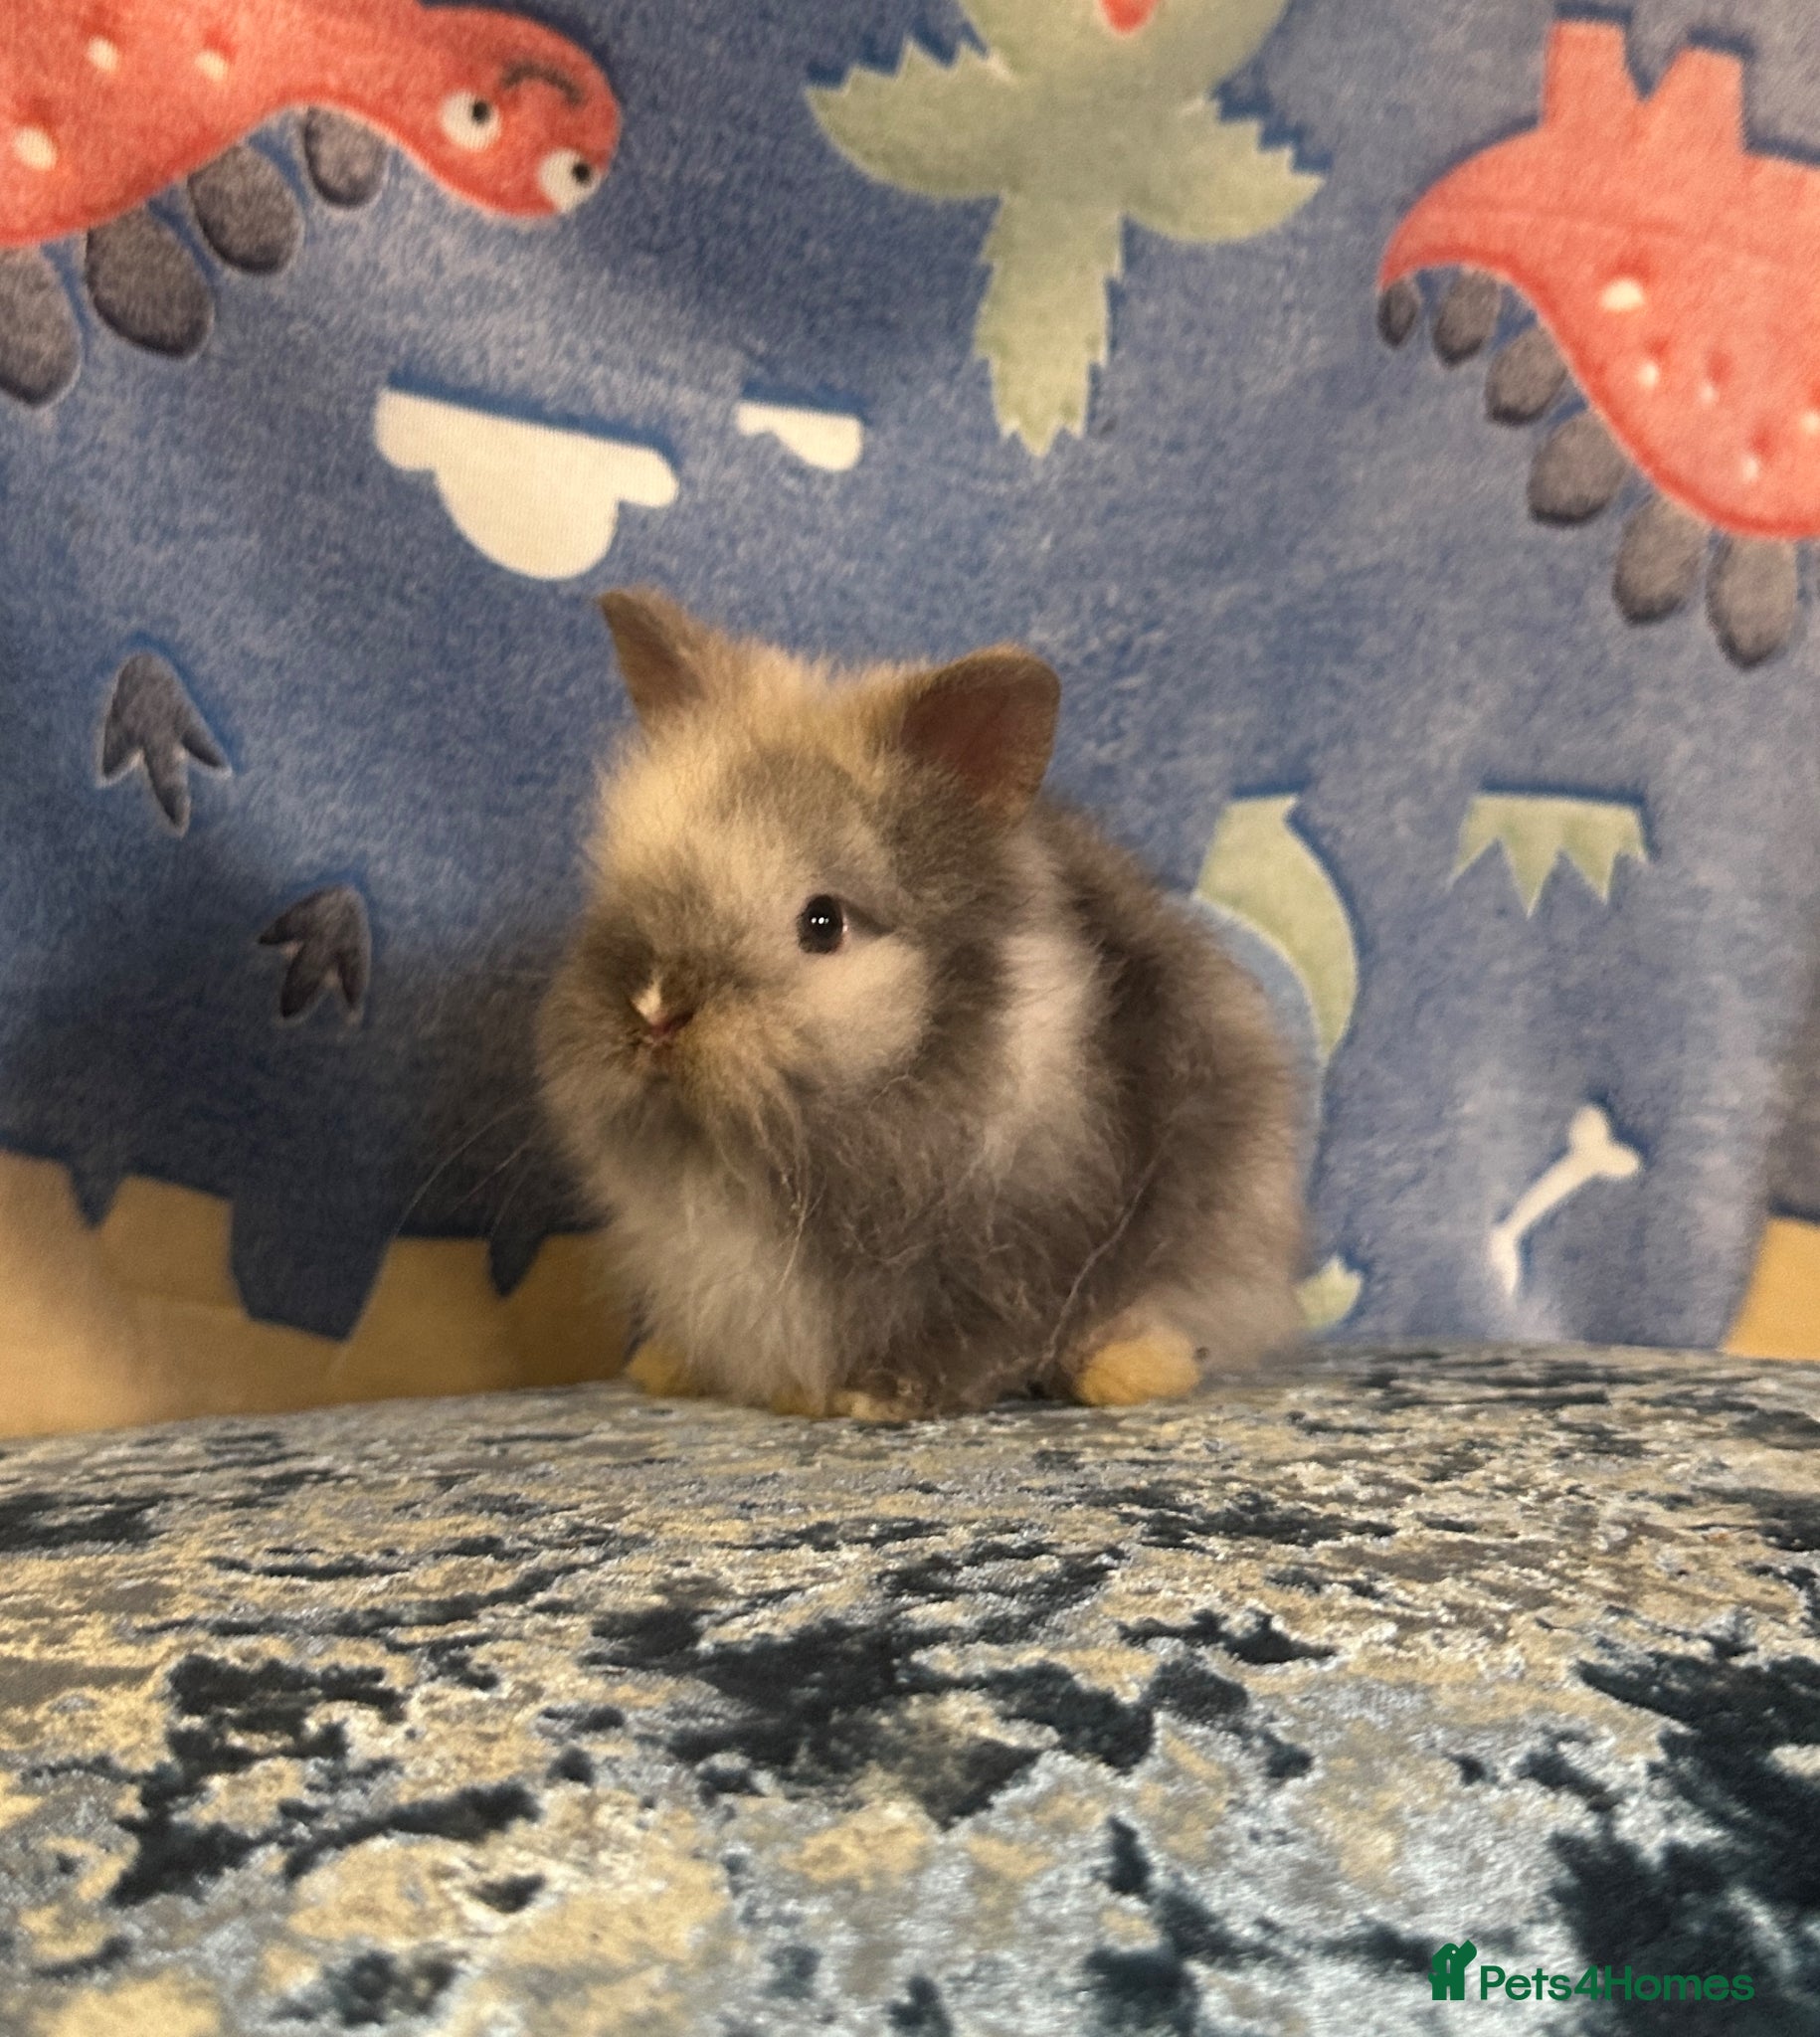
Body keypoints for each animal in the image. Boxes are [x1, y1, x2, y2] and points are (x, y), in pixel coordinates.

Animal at [537, 589, 1306, 1419]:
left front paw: (872, 1396)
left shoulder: (1018, 1250)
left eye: (823, 923)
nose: (654, 1012)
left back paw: (1128, 1366)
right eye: (620, 883)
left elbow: (968, 1333)